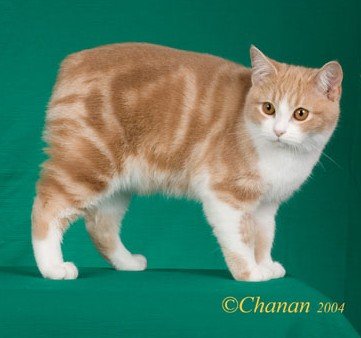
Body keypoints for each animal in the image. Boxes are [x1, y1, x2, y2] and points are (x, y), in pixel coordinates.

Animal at [30, 43, 340, 282]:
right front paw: (250, 272)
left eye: (300, 114)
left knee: (100, 224)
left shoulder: (266, 205)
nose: (278, 131)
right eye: (268, 108)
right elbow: (241, 239)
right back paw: (52, 267)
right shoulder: (226, 197)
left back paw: (127, 262)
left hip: (118, 183)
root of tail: (74, 60)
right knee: (46, 208)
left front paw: (264, 264)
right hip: (89, 164)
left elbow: (264, 237)